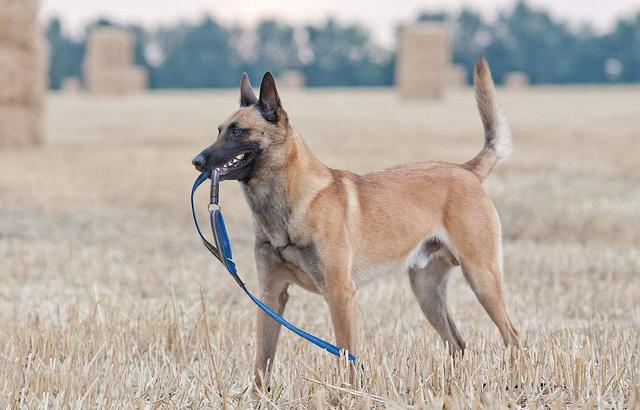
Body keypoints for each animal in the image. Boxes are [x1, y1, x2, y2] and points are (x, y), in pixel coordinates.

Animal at [191, 59, 520, 390]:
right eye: (219, 131)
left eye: (237, 131)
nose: (197, 161)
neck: (291, 204)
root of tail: (466, 171)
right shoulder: (271, 296)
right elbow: (263, 361)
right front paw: (258, 397)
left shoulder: (339, 294)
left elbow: (345, 356)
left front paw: (347, 393)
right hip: (426, 291)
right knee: (457, 343)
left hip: (481, 278)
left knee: (512, 336)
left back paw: (515, 381)